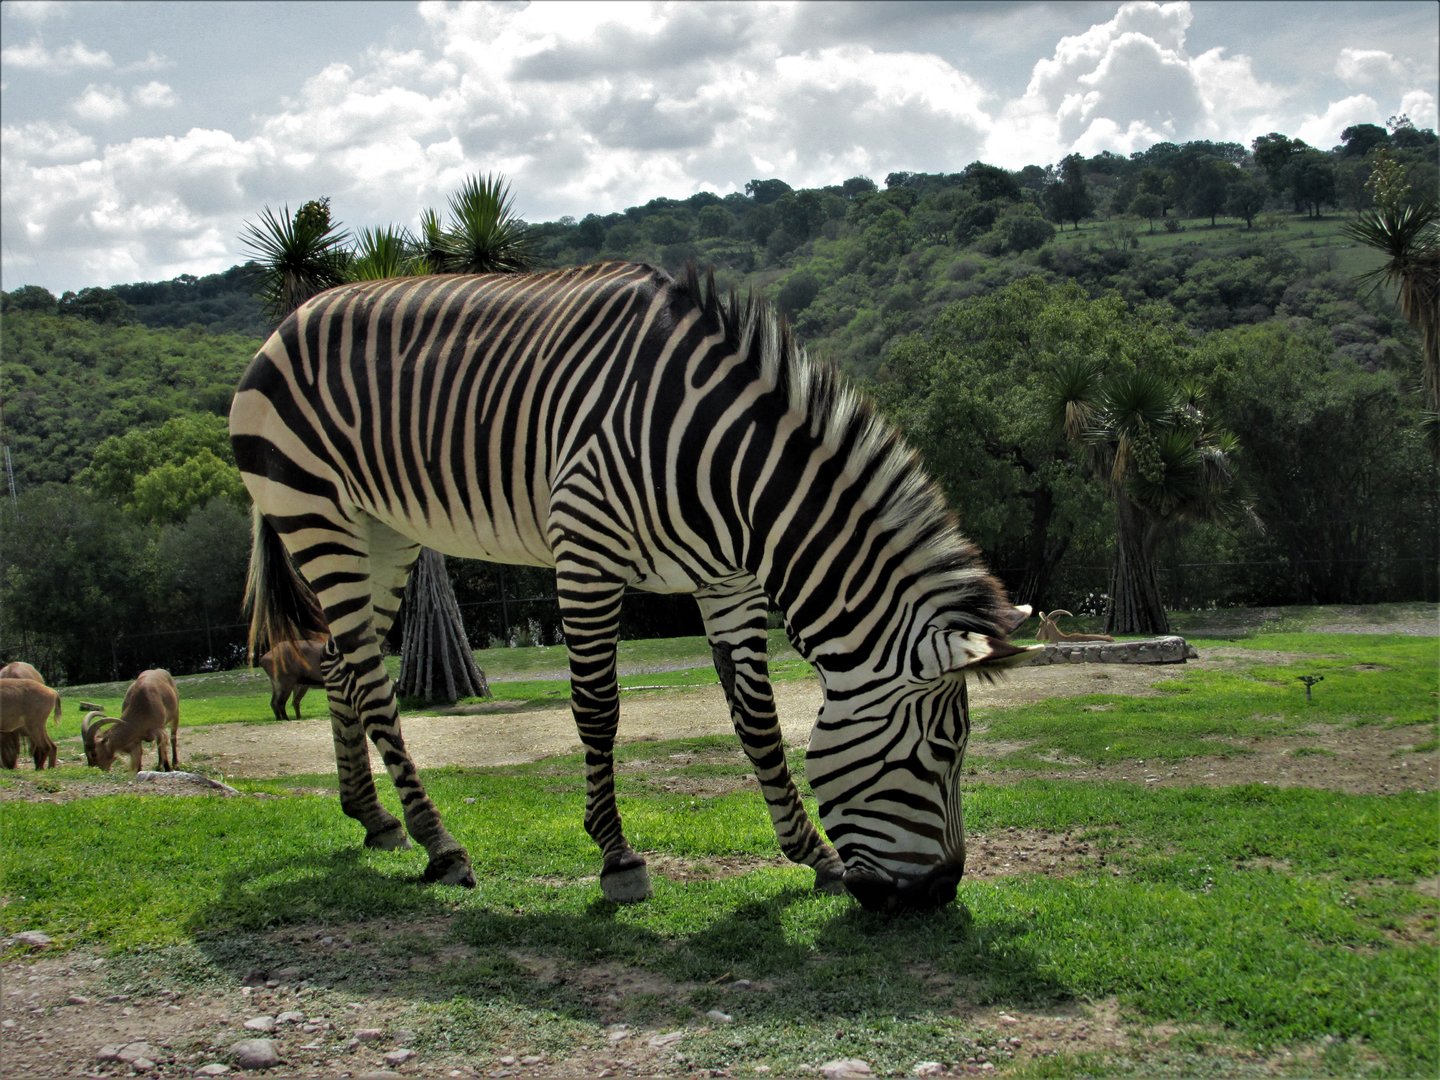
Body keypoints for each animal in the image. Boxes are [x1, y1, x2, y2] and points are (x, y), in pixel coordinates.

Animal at [229, 261, 1034, 913]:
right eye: (941, 754)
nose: (939, 895)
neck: (726, 468)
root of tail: (291, 319)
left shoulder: (729, 582)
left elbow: (758, 720)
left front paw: (813, 856)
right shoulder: (587, 552)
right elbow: (597, 710)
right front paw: (617, 859)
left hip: (383, 534)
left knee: (342, 669)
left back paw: (375, 820)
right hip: (316, 514)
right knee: (371, 683)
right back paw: (440, 843)